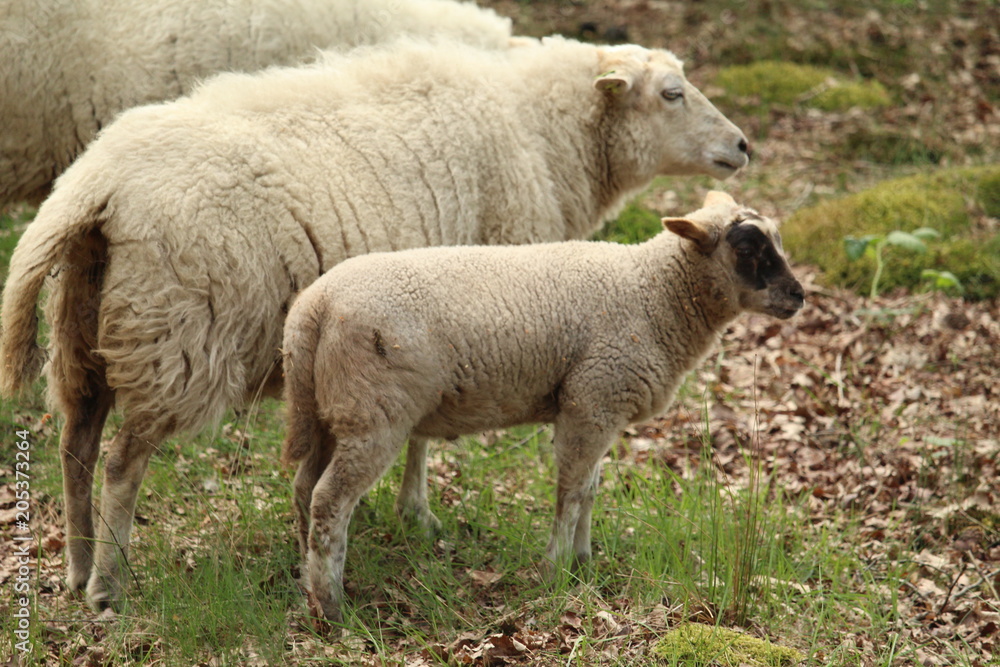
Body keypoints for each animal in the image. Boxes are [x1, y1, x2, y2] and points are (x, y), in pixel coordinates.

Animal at [0, 35, 752, 612]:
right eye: (672, 93)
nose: (743, 146)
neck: (542, 131)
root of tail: (94, 186)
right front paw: (418, 512)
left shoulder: (434, 338)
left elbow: (420, 431)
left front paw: (411, 512)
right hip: (178, 336)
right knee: (123, 462)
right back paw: (109, 586)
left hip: (89, 326)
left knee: (76, 446)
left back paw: (76, 567)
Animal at [284, 189, 804, 628]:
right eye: (748, 249)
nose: (799, 295)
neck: (653, 295)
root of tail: (314, 309)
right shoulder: (592, 398)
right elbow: (571, 493)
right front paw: (555, 570)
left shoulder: (600, 407)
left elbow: (591, 488)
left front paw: (584, 560)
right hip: (374, 412)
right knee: (330, 500)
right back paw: (332, 607)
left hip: (326, 409)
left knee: (304, 487)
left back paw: (305, 575)